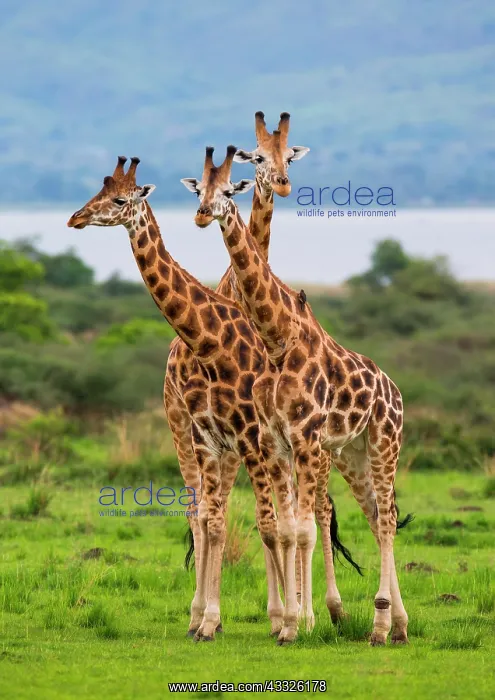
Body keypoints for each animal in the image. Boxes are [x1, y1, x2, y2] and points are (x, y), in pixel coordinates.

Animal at [67, 154, 290, 643]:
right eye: (100, 191)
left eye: (119, 199)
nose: (75, 218)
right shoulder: (208, 437)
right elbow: (212, 520)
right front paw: (207, 620)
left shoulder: (245, 438)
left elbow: (254, 522)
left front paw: (272, 619)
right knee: (213, 514)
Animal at [182, 144, 411, 646]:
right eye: (199, 189)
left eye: (228, 190)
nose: (203, 214)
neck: (278, 340)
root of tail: (395, 390)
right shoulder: (278, 442)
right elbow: (286, 527)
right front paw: (291, 621)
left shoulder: (304, 441)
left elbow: (302, 529)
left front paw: (299, 623)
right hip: (354, 453)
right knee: (375, 515)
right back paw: (398, 625)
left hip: (385, 443)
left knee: (385, 518)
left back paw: (380, 625)